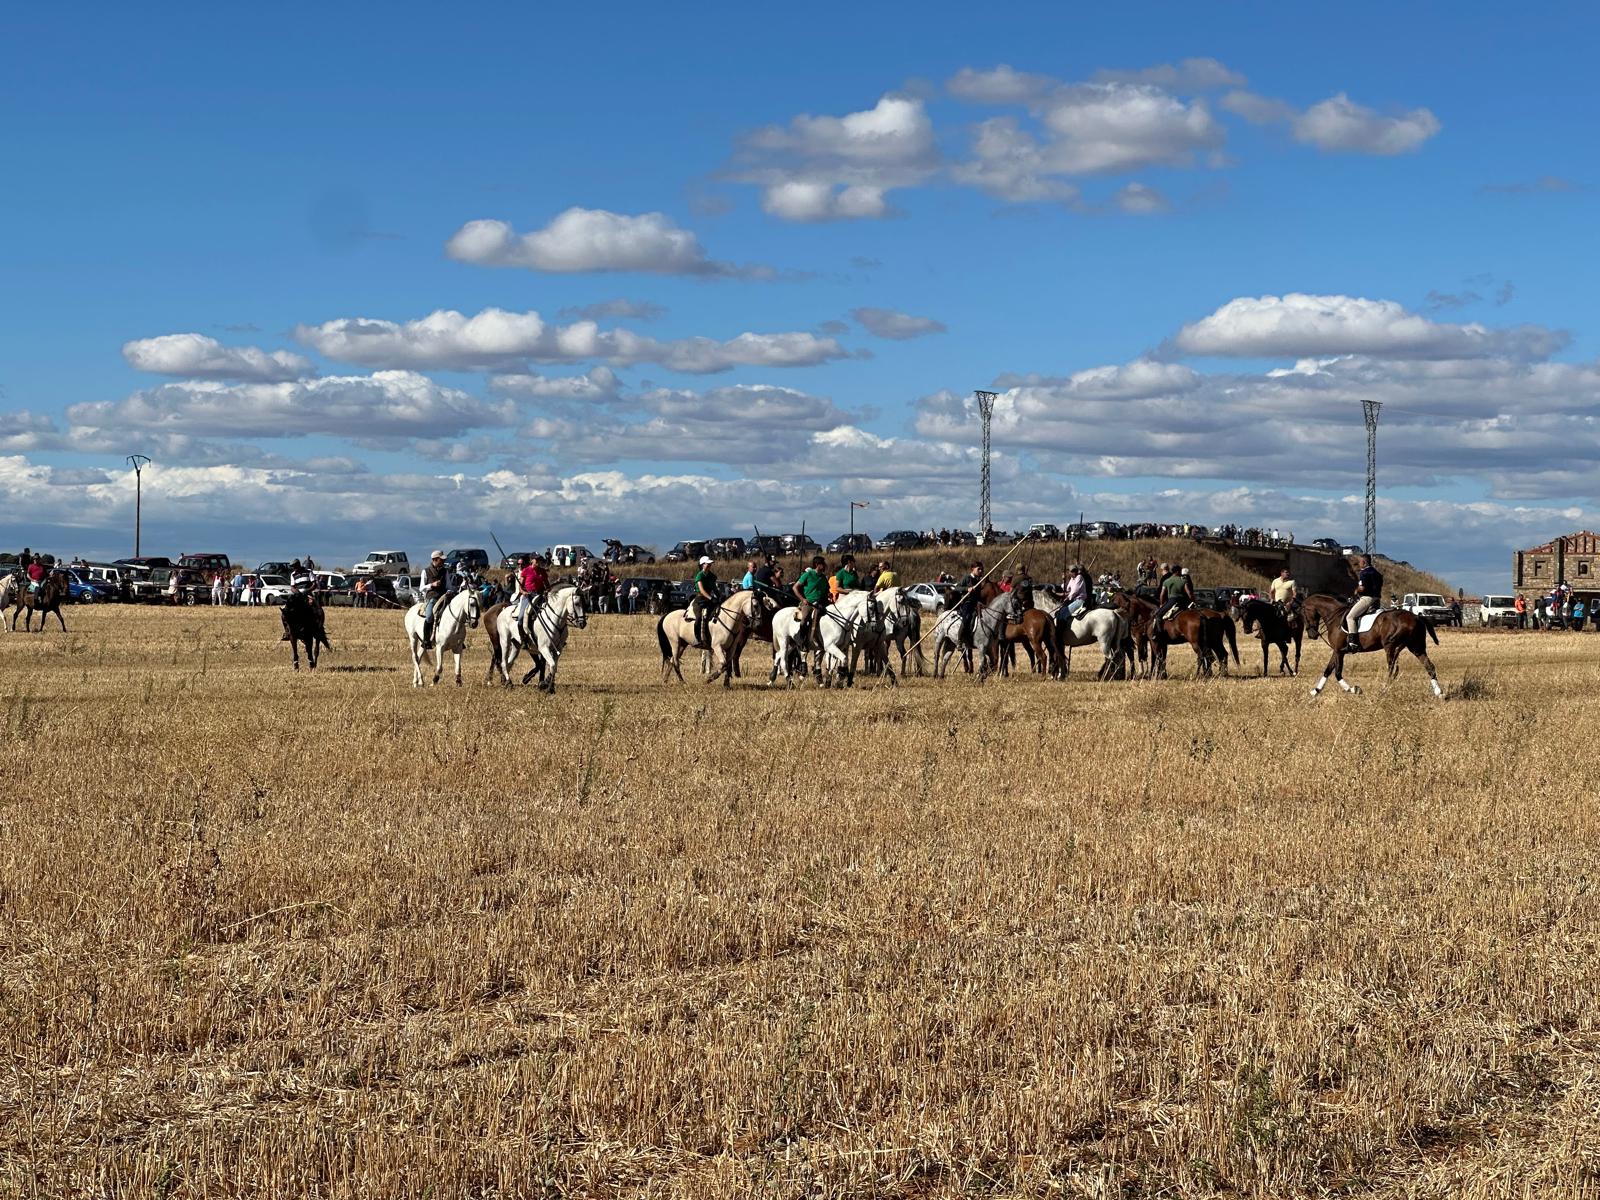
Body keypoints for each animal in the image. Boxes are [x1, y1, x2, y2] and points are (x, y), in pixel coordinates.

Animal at [1292, 595, 1446, 700]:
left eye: (1303, 614)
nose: (1312, 635)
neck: (1334, 616)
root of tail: (1416, 617)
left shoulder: (1338, 651)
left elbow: (1337, 673)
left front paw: (1354, 689)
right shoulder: (1337, 651)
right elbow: (1328, 670)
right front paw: (1315, 690)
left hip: (1391, 646)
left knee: (1392, 669)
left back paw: (1384, 690)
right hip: (1416, 648)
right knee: (1429, 666)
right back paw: (1439, 693)